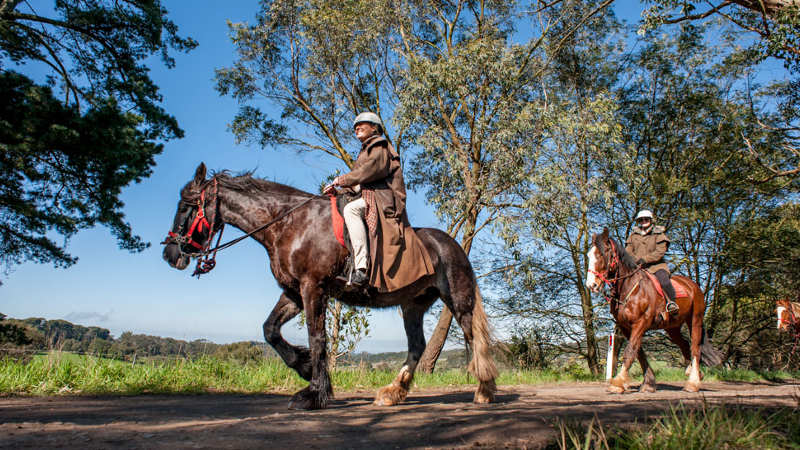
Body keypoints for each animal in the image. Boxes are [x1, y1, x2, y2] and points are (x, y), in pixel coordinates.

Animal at [160, 163, 496, 410]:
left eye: (186, 206)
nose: (170, 254)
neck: (289, 224)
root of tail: (453, 245)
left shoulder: (313, 288)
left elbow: (317, 337)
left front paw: (314, 393)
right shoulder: (293, 292)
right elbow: (271, 330)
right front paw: (305, 367)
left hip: (458, 301)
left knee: (475, 339)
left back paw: (484, 389)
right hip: (413, 304)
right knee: (417, 346)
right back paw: (392, 392)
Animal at [580, 230, 720, 392]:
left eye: (602, 254)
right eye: (589, 255)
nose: (592, 285)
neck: (630, 287)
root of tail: (692, 285)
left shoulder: (641, 323)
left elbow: (630, 351)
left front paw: (618, 383)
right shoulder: (626, 326)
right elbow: (639, 353)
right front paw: (648, 383)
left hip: (695, 320)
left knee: (695, 347)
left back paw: (693, 382)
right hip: (672, 327)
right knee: (684, 344)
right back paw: (693, 372)